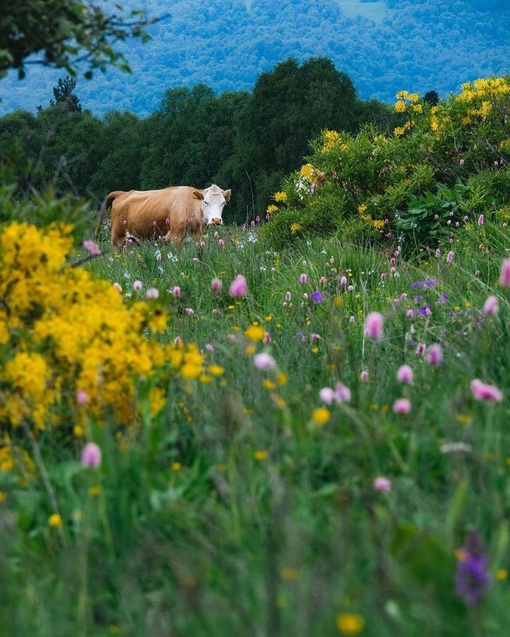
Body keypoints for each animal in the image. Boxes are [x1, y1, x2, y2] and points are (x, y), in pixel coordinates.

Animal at [94, 184, 232, 246]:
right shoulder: (175, 238)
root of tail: (122, 193)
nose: (216, 220)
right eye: (206, 202)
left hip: (132, 241)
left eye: (224, 203)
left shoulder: (197, 238)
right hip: (117, 238)